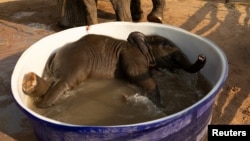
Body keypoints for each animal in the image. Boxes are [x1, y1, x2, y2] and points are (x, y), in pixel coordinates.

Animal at [22, 31, 206, 108]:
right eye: (167, 46)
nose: (202, 56)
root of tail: (55, 54)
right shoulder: (132, 55)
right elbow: (137, 74)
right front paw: (160, 105)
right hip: (76, 61)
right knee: (67, 80)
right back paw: (42, 106)